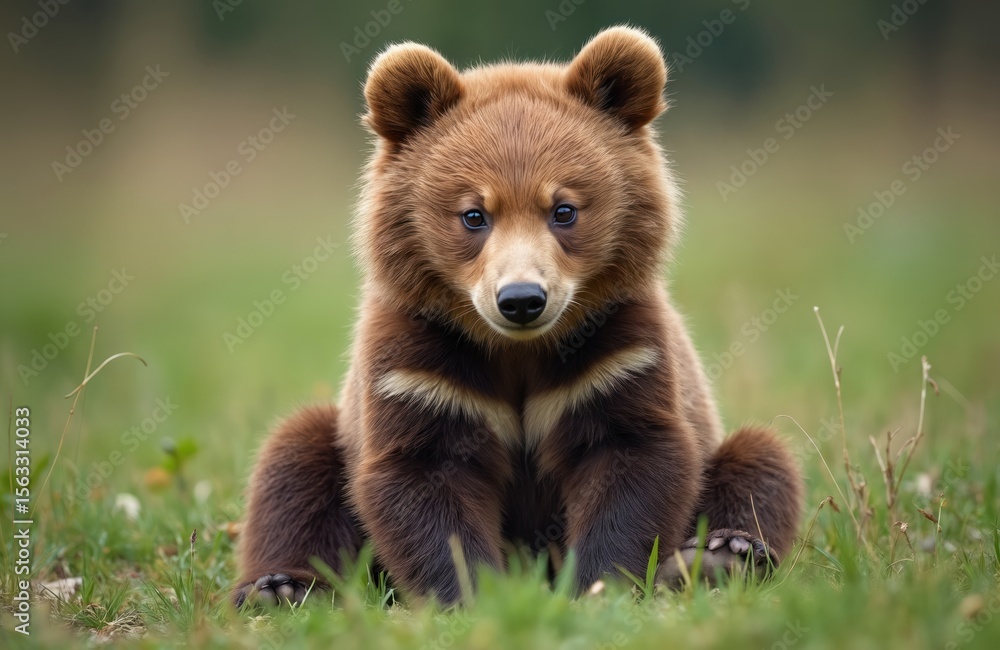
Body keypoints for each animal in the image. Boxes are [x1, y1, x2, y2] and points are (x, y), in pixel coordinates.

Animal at [233, 26, 803, 608]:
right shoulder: (421, 373)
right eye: (474, 214)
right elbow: (423, 480)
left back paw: (720, 553)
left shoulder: (619, 358)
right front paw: (470, 594)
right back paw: (278, 587)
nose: (523, 298)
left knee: (762, 459)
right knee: (292, 463)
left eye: (564, 209)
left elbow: (635, 460)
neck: (518, 351)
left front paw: (598, 584)